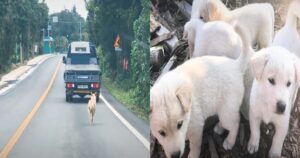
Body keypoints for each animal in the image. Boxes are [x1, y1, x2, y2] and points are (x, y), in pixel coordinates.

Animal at [150, 27, 251, 158]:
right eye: (161, 133)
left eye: (179, 124)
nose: (176, 155)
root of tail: (235, 65)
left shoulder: (196, 128)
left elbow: (195, 146)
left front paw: (192, 154)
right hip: (225, 109)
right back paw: (219, 128)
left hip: (227, 109)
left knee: (235, 123)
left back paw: (229, 141)